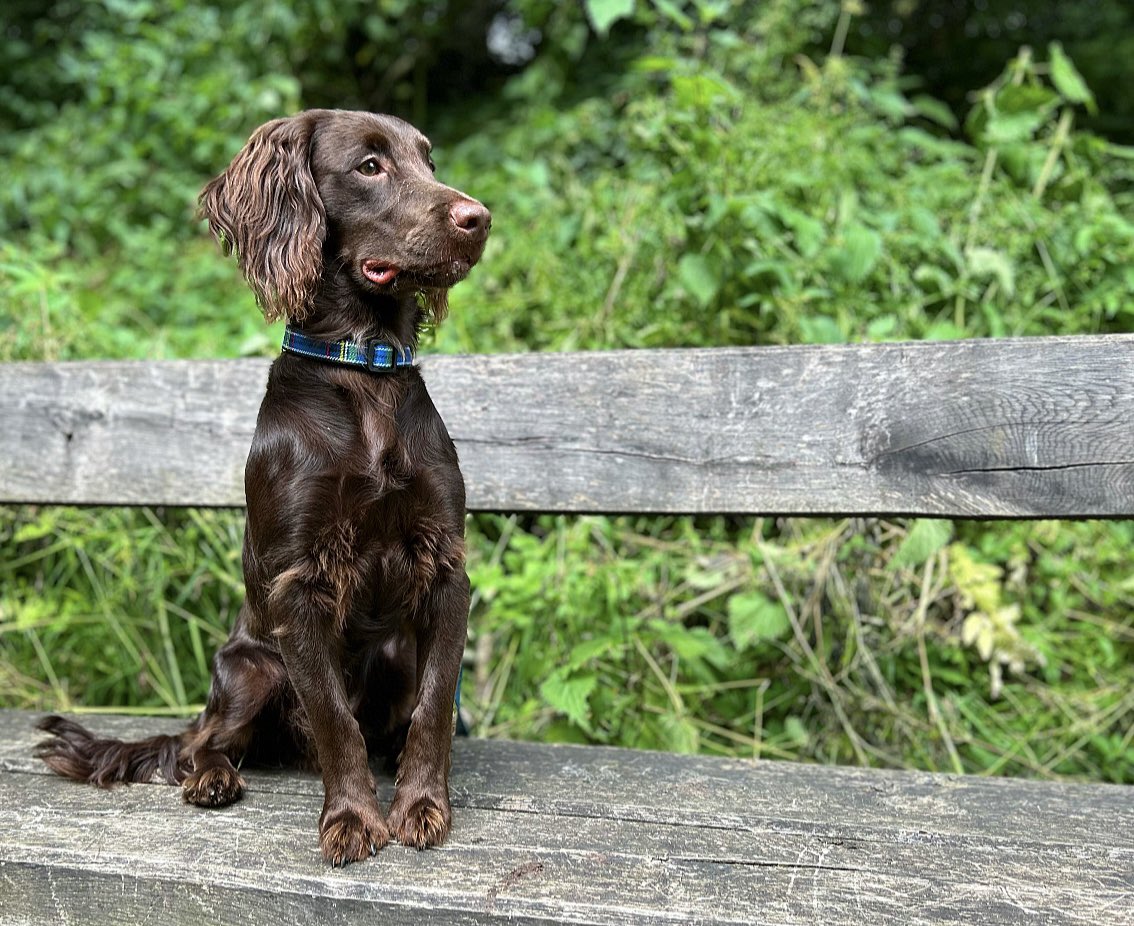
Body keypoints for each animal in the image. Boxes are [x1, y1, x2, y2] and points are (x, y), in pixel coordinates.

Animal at [37, 109, 489, 865]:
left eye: (429, 161)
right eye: (370, 166)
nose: (478, 218)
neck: (364, 371)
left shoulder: (443, 566)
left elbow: (433, 704)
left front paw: (421, 805)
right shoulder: (299, 582)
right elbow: (335, 719)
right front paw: (353, 819)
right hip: (247, 669)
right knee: (203, 743)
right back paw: (212, 778)